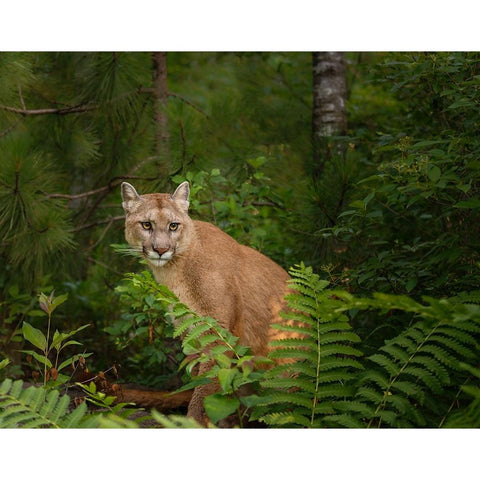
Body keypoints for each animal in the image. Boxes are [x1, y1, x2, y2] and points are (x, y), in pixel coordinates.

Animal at [122, 181, 290, 424]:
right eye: (146, 225)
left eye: (173, 226)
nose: (161, 250)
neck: (175, 271)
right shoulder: (191, 333)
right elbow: (200, 379)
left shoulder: (219, 332)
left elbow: (206, 388)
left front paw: (194, 422)